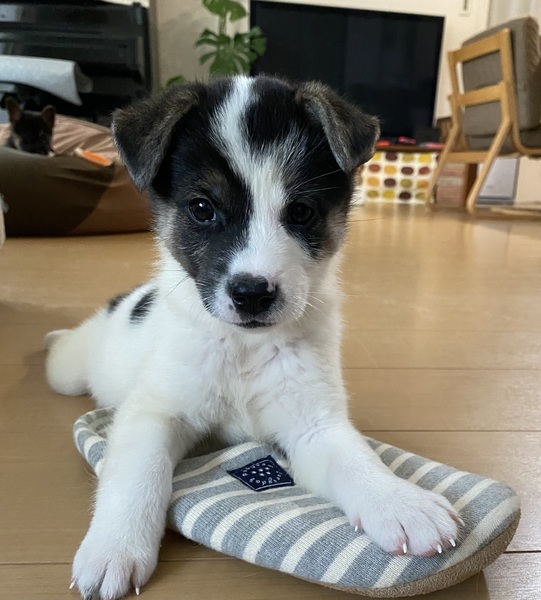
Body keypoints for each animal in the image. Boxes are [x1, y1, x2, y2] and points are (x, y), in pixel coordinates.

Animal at [45, 75, 461, 599]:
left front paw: (401, 502)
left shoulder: (312, 424)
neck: (242, 348)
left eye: (301, 211)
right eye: (203, 208)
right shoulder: (154, 412)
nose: (252, 294)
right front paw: (114, 547)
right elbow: (138, 475)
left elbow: (356, 461)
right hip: (70, 372)